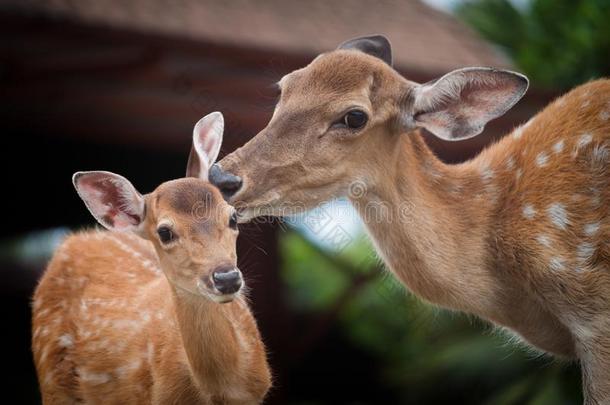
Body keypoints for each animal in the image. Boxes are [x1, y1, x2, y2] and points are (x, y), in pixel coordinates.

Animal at [32, 112, 270, 402]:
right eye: (165, 232)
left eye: (233, 217)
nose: (226, 278)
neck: (220, 390)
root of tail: (73, 241)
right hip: (51, 378)